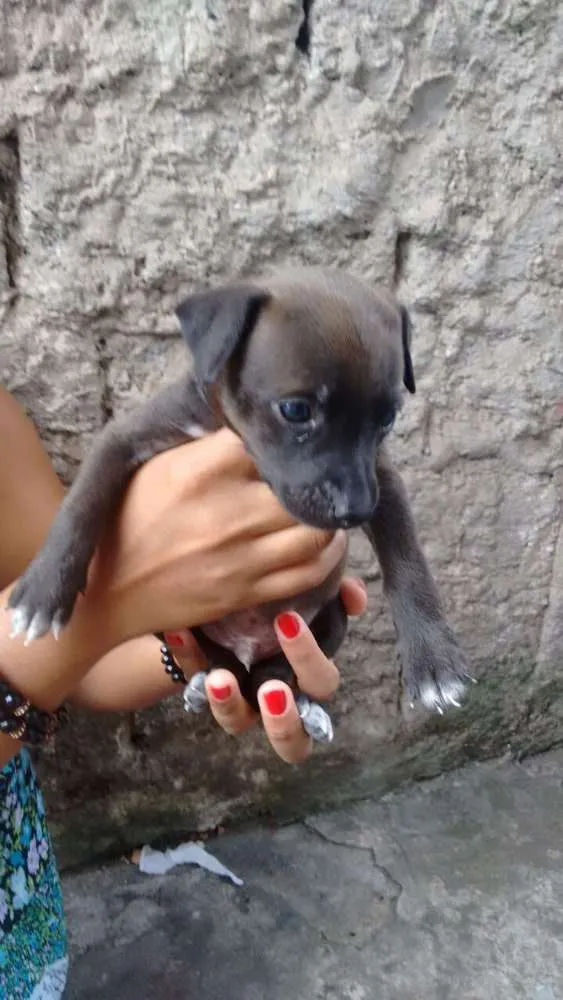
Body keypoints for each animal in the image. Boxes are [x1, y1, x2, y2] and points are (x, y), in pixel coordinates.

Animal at [7, 270, 472, 740]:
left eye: (387, 419)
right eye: (296, 409)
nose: (356, 510)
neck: (227, 427)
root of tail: (247, 656)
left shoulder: (381, 477)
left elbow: (407, 558)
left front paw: (432, 659)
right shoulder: (123, 437)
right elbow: (82, 503)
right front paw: (45, 589)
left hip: (330, 616)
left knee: (276, 676)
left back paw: (302, 706)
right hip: (179, 626)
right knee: (223, 666)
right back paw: (205, 682)